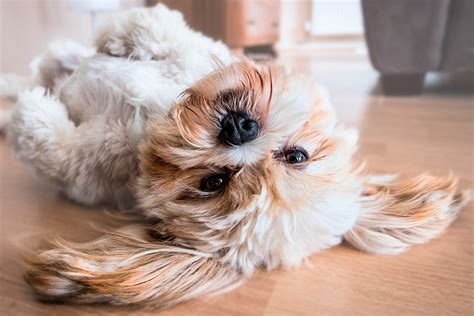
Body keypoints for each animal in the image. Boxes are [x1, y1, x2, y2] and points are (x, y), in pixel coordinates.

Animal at [0, 3, 470, 308]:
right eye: (296, 156)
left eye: (213, 182)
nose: (240, 128)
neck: (153, 118)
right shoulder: (190, 52)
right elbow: (162, 32)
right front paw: (124, 35)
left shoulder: (88, 171)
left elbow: (56, 149)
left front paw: (32, 114)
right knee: (44, 65)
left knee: (34, 83)